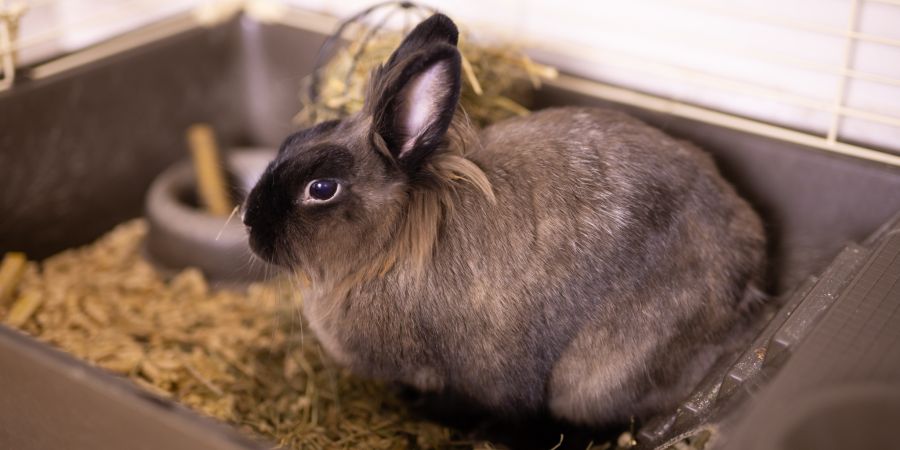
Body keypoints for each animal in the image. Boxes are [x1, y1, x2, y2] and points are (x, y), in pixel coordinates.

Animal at [242, 13, 767, 427]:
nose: (250, 224)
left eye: (321, 189)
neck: (388, 247)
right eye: (293, 140)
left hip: (597, 377)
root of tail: (749, 283)